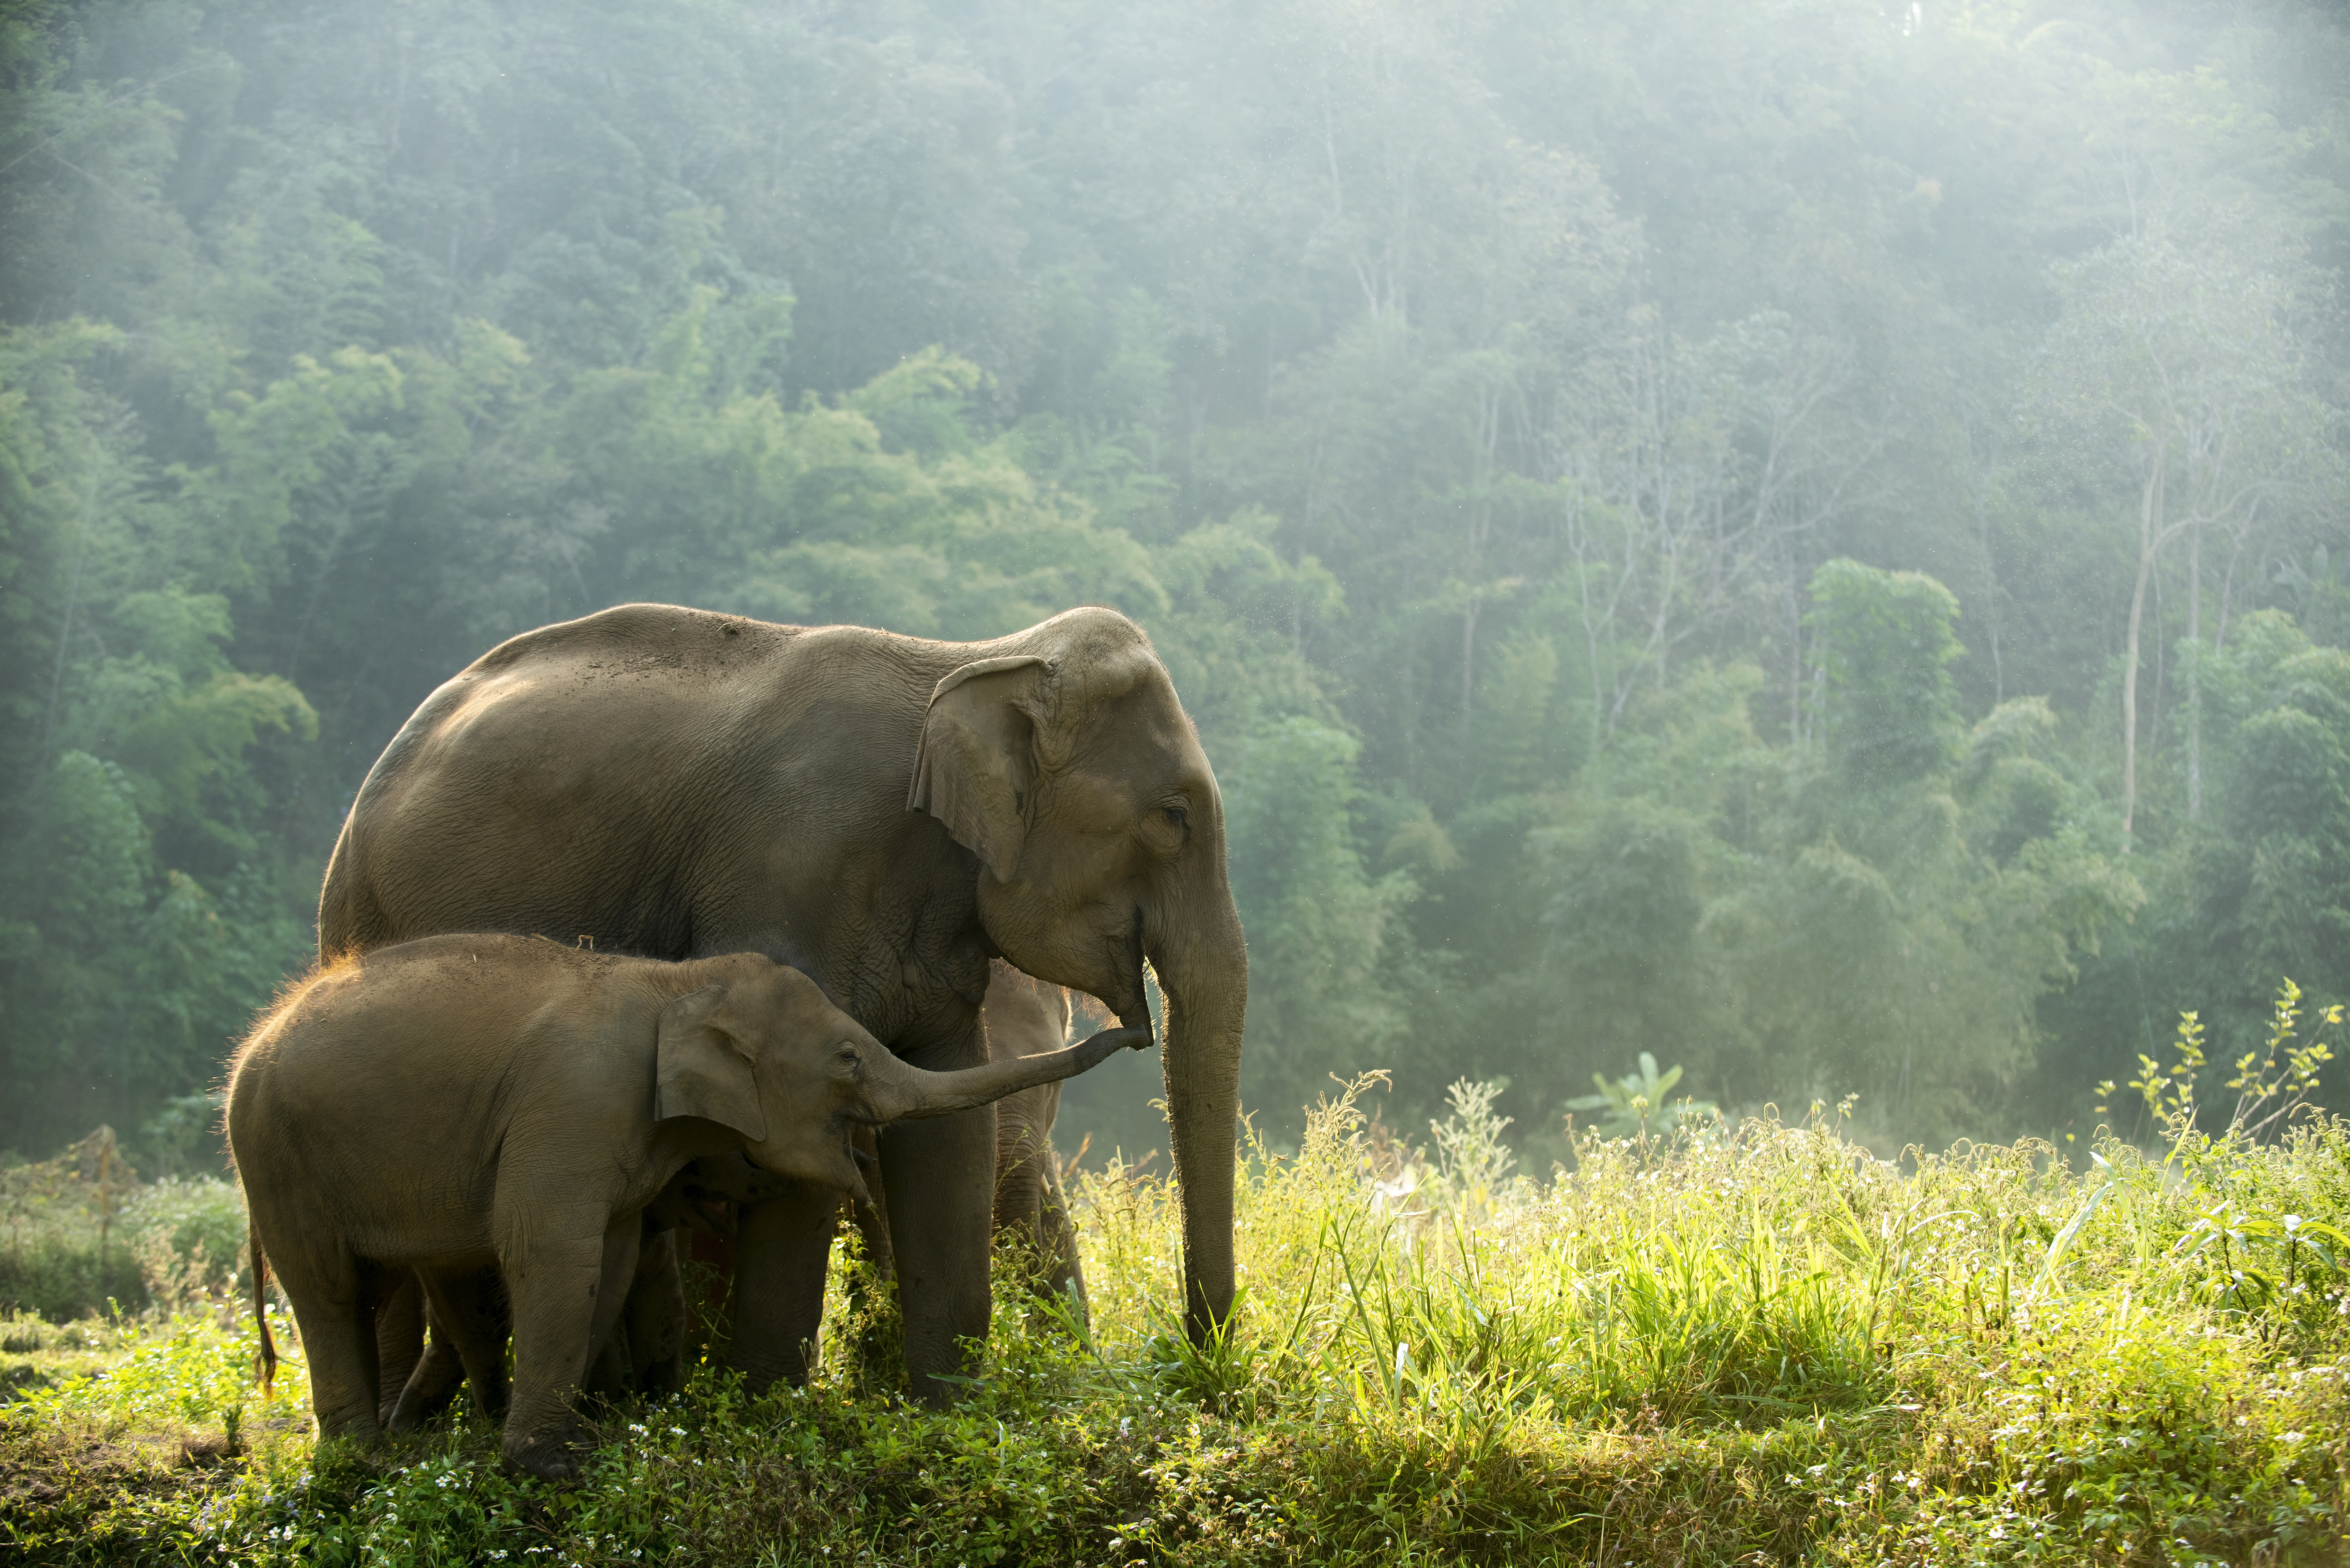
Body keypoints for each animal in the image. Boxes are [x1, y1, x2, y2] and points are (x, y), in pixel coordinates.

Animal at [229, 934, 1145, 1477]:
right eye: (848, 1059)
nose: (1133, 1028)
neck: (675, 985)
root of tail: (251, 1044)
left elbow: (610, 1255)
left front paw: (596, 1430)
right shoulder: (573, 1104)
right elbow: (550, 1247)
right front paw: (547, 1465)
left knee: (366, 1283)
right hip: (272, 1149)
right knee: (328, 1287)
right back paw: (361, 1466)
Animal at [319, 603, 1246, 1403]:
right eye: (1172, 817)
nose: (1194, 1363)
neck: (972, 658)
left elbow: (949, 1128)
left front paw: (945, 1418)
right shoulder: (793, 876)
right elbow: (800, 1129)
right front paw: (766, 1412)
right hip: (360, 920)